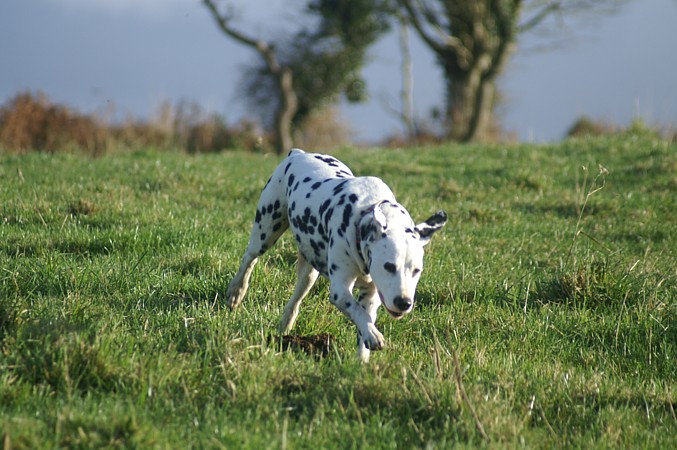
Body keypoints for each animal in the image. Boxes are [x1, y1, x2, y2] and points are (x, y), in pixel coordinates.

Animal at [227, 149, 446, 362]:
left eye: (416, 270)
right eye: (389, 266)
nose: (404, 302)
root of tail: (297, 153)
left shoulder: (372, 293)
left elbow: (364, 317)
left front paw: (362, 357)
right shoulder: (340, 290)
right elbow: (356, 310)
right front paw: (373, 335)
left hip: (309, 273)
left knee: (296, 299)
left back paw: (285, 327)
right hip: (266, 231)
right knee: (249, 259)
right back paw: (236, 292)